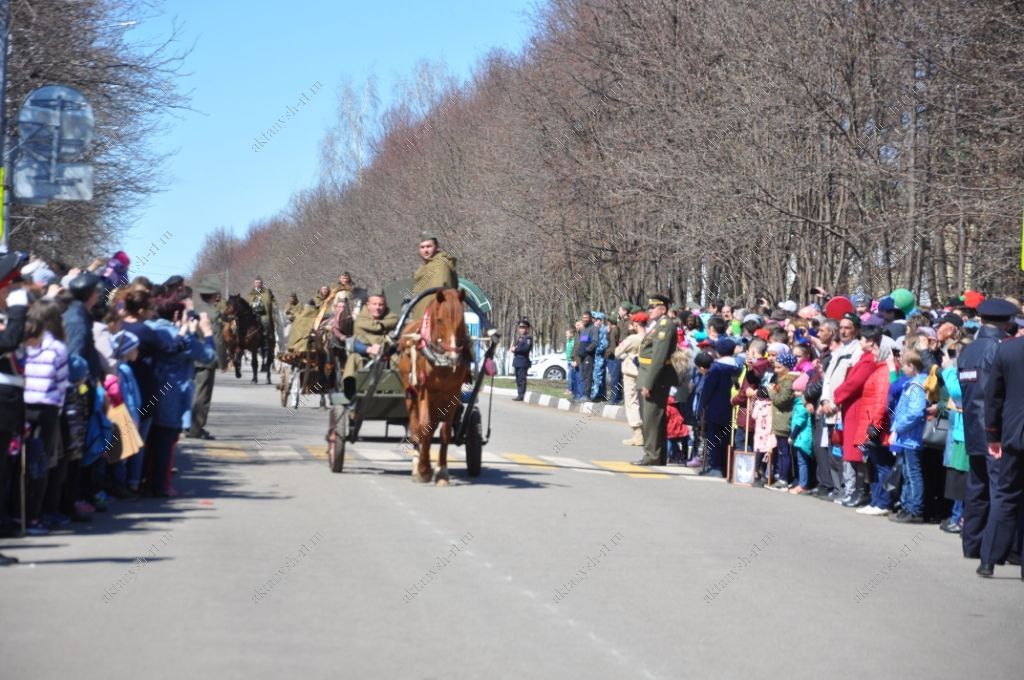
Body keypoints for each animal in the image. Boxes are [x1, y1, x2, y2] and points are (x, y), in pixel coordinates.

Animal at [397, 288, 473, 485]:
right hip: (411, 392)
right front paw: (423, 469)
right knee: (416, 427)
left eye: (462, 321)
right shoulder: (425, 391)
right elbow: (423, 426)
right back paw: (417, 464)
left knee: (431, 428)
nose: (453, 357)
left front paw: (442, 471)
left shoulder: (453, 394)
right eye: (440, 320)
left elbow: (445, 432)